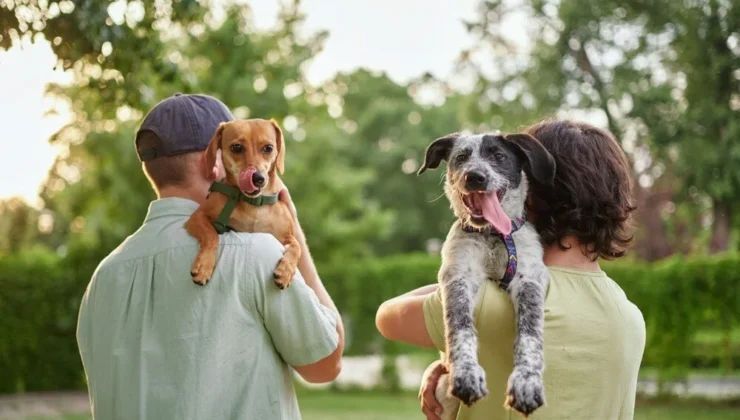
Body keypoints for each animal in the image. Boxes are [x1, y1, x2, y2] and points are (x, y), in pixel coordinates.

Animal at [184, 118, 300, 288]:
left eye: (268, 148)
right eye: (237, 147)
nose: (258, 178)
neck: (254, 204)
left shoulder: (286, 235)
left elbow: (297, 247)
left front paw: (286, 271)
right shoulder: (197, 217)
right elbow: (212, 235)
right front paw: (204, 265)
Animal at [416, 131, 556, 416]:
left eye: (499, 156)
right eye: (461, 157)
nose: (475, 177)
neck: (493, 236)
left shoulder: (529, 279)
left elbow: (530, 334)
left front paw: (527, 384)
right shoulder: (458, 277)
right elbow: (460, 328)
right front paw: (467, 375)